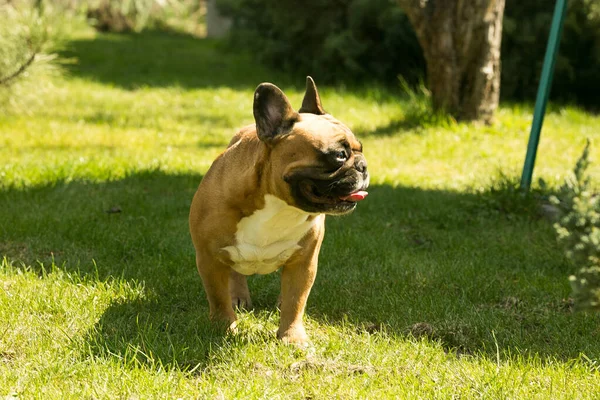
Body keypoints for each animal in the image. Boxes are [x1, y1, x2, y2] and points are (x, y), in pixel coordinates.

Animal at [190, 77, 368, 344]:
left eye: (361, 149)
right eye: (339, 155)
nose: (363, 166)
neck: (279, 206)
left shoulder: (304, 262)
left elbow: (296, 300)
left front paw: (292, 337)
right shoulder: (209, 258)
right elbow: (218, 297)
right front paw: (224, 328)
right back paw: (238, 297)